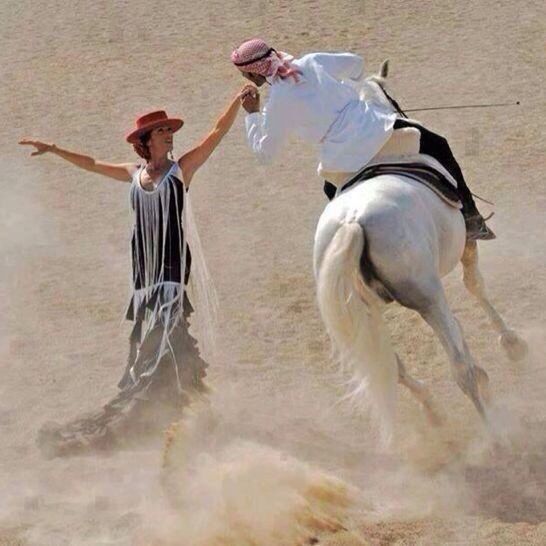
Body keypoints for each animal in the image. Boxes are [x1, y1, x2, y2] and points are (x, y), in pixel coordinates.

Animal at [312, 63, 524, 438]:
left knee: (392, 366)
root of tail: (354, 221)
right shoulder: (467, 244)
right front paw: (511, 342)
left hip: (361, 315)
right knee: (459, 370)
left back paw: (435, 413)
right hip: (427, 298)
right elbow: (475, 286)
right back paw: (494, 433)